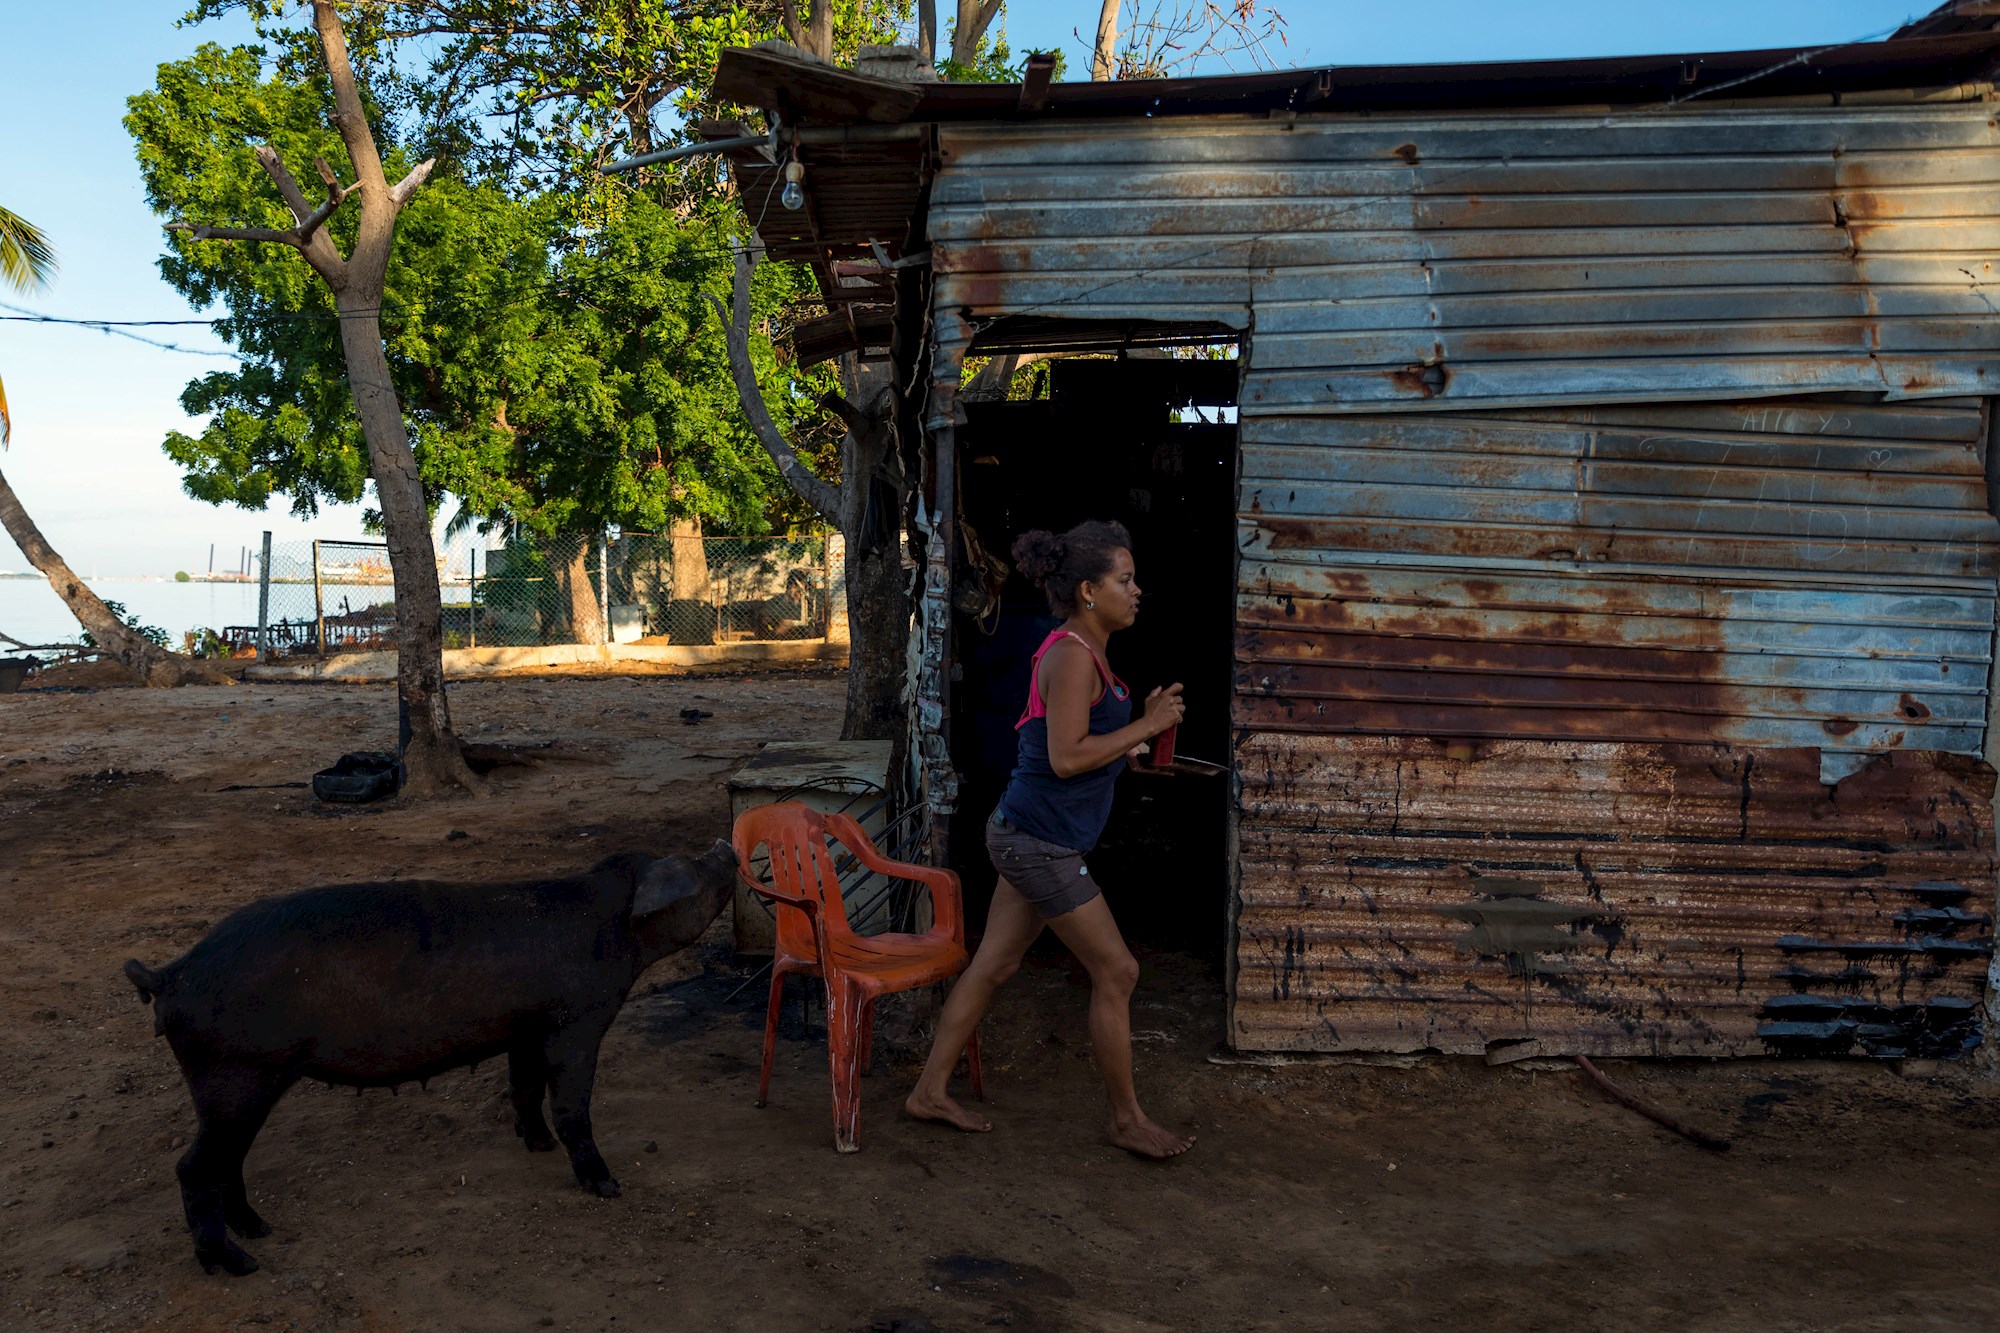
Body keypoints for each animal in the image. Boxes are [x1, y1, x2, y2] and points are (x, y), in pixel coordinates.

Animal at [125, 836, 740, 1272]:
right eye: (692, 864)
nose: (724, 844)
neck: (616, 925)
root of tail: (170, 974)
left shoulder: (525, 1027)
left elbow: (523, 1086)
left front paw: (537, 1146)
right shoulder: (577, 1019)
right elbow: (572, 1103)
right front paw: (609, 1188)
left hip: (243, 1084)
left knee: (227, 1161)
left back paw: (260, 1230)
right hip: (235, 1073)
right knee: (192, 1167)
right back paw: (239, 1264)